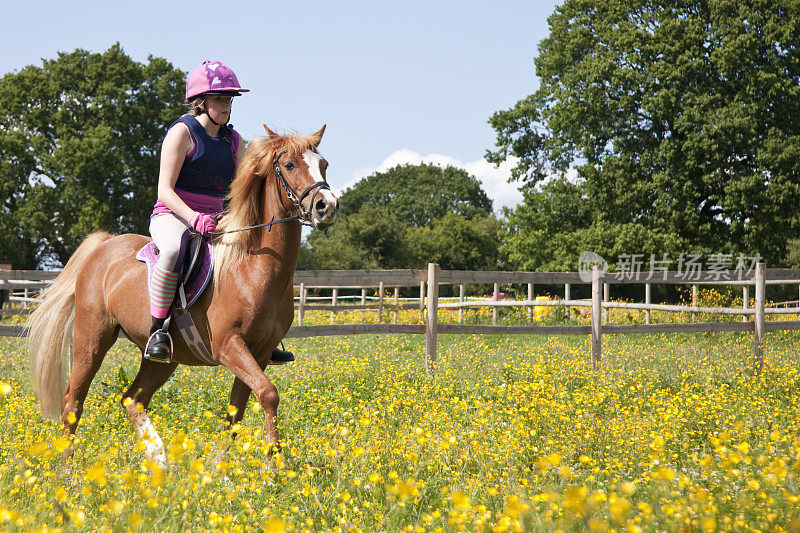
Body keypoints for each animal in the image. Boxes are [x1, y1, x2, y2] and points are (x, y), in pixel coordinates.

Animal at [25, 124, 338, 466]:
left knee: (133, 399)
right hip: (91, 338)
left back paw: (160, 461)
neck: (251, 267)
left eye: (324, 165)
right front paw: (273, 462)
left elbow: (237, 411)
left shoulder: (261, 353)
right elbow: (268, 394)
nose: (327, 206)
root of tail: (103, 244)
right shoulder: (230, 347)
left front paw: (222, 471)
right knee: (74, 401)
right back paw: (67, 468)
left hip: (163, 358)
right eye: (290, 165)